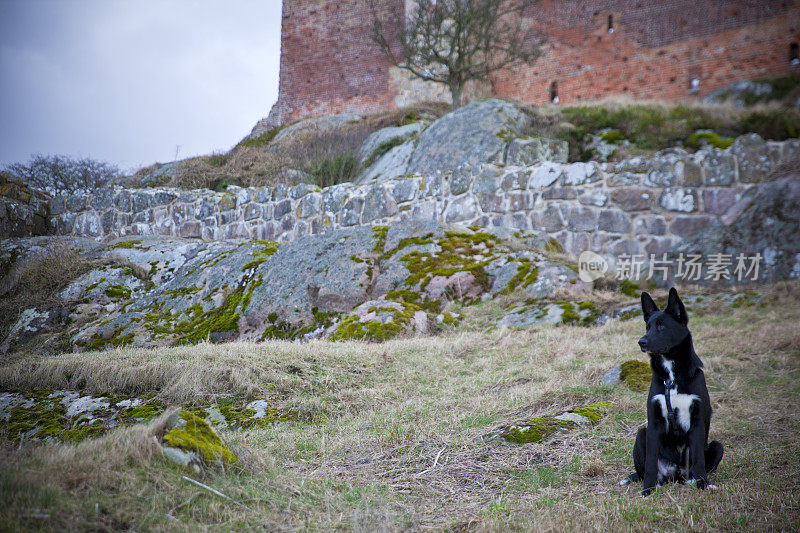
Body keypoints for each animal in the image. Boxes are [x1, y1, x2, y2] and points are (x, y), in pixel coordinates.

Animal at [620, 286, 724, 494]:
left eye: (661, 326)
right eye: (648, 326)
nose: (641, 342)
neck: (672, 377)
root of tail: (676, 474)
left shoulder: (697, 422)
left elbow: (698, 460)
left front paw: (703, 484)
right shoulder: (654, 423)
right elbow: (651, 463)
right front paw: (648, 490)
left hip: (717, 446)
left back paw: (692, 480)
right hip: (641, 435)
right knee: (648, 468)